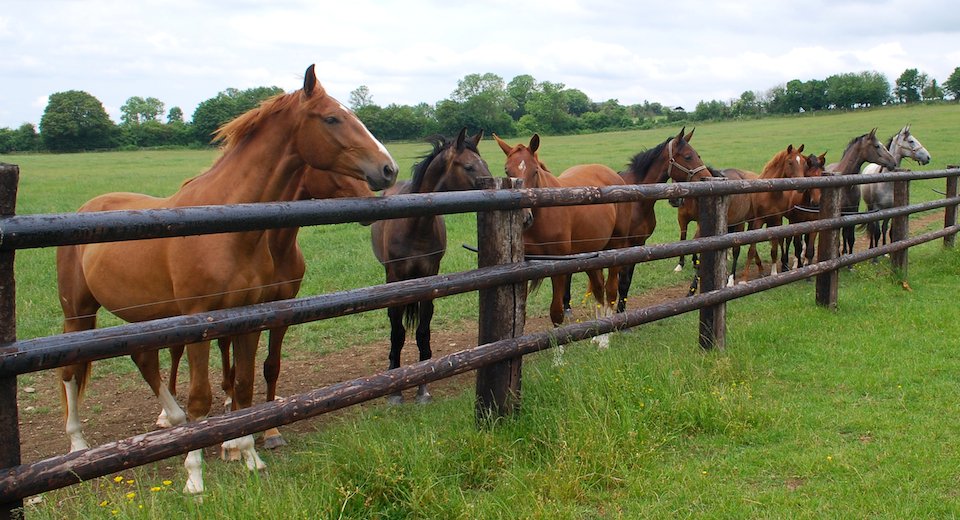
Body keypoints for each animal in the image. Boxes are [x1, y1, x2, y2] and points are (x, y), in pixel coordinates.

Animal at [162, 169, 376, 451]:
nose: (369, 195)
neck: (275, 246)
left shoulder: (280, 308)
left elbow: (268, 367)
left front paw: (268, 429)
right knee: (179, 349)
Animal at [371, 128, 491, 404]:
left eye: (486, 164)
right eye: (469, 166)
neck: (415, 225)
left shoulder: (430, 278)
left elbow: (423, 331)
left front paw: (423, 387)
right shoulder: (395, 279)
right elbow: (397, 332)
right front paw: (395, 390)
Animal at [492, 133, 632, 347]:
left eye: (535, 171)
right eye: (507, 171)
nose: (524, 218)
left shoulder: (557, 267)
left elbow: (556, 311)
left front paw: (559, 354)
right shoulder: (523, 268)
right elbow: (520, 316)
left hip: (615, 247)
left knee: (610, 291)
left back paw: (605, 338)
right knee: (598, 289)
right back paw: (598, 334)